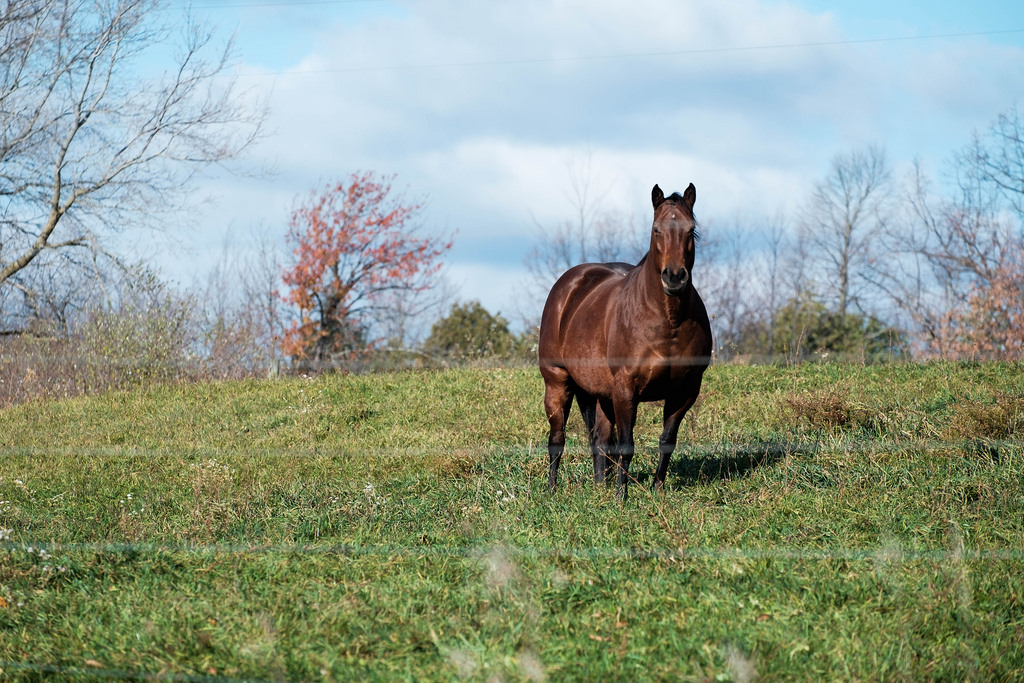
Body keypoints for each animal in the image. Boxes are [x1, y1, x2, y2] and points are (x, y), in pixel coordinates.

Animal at [536, 184, 712, 499]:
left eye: (691, 230)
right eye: (656, 229)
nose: (674, 277)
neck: (668, 322)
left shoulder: (685, 391)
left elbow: (666, 441)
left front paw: (657, 490)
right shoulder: (626, 389)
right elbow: (626, 445)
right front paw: (622, 497)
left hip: (601, 394)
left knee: (600, 439)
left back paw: (599, 487)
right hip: (558, 382)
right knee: (557, 438)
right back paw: (553, 490)